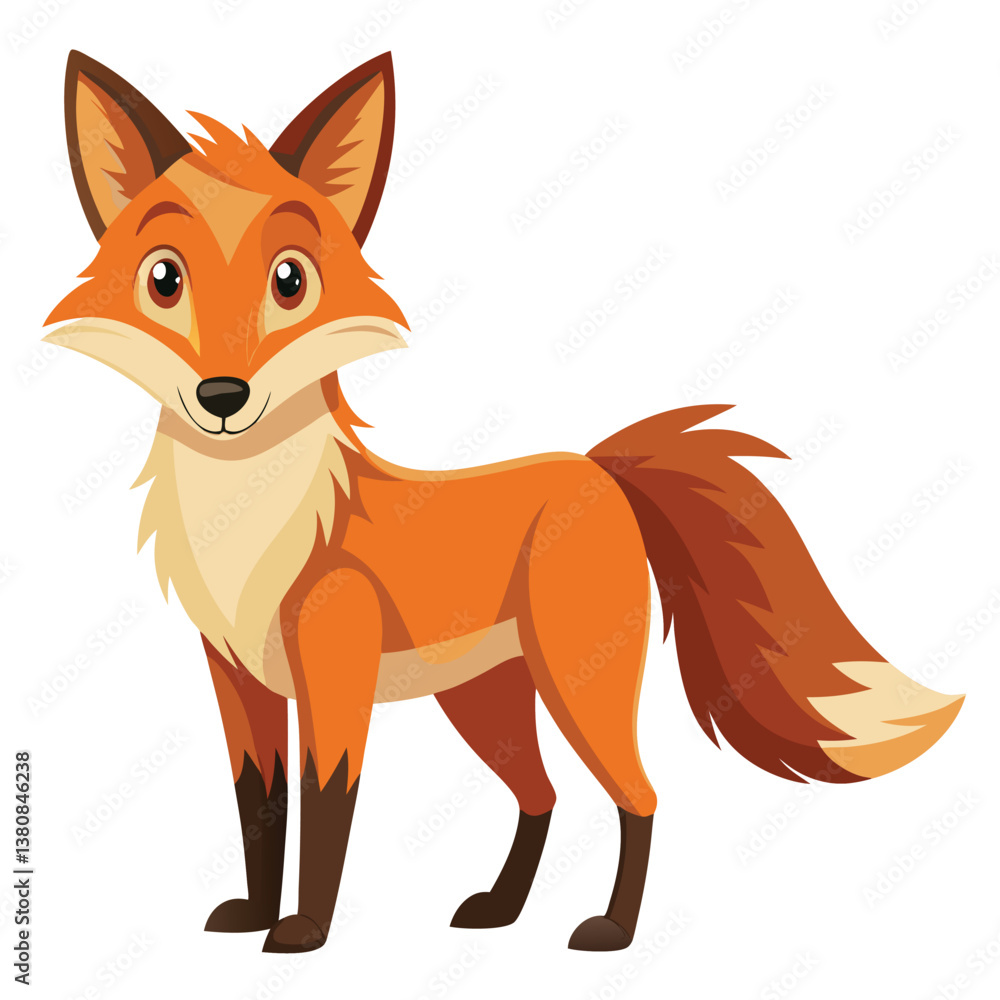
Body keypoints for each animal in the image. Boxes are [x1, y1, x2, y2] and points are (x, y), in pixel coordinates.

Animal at [47, 50, 964, 955]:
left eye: (290, 281)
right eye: (165, 279)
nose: (224, 395)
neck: (248, 530)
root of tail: (594, 467)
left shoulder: (334, 671)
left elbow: (326, 805)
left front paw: (303, 931)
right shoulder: (238, 679)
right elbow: (257, 804)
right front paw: (252, 914)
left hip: (578, 685)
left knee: (639, 794)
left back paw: (612, 930)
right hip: (484, 701)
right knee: (541, 795)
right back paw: (501, 909)